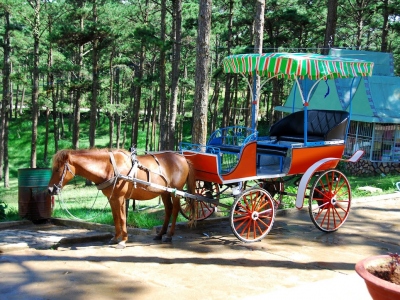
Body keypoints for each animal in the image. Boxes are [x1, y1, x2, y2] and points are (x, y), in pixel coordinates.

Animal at [47, 148, 198, 248]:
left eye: (57, 169)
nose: (50, 190)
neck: (110, 168)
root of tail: (183, 158)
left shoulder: (120, 198)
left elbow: (122, 217)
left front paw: (123, 240)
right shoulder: (112, 198)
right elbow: (116, 218)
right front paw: (115, 237)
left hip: (176, 191)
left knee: (175, 210)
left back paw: (169, 235)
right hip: (164, 192)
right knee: (168, 210)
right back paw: (160, 234)